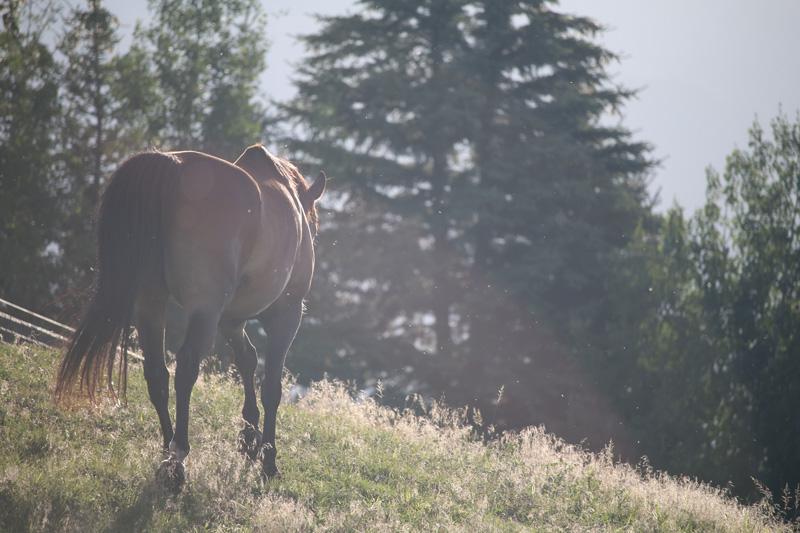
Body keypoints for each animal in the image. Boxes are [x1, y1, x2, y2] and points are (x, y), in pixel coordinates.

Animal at [54, 144, 325, 486]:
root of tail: (171, 165)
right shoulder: (285, 315)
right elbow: (271, 388)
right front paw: (268, 459)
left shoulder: (230, 320)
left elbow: (247, 361)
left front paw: (249, 441)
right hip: (204, 309)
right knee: (185, 368)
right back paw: (179, 456)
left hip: (151, 303)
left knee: (157, 372)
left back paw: (167, 449)